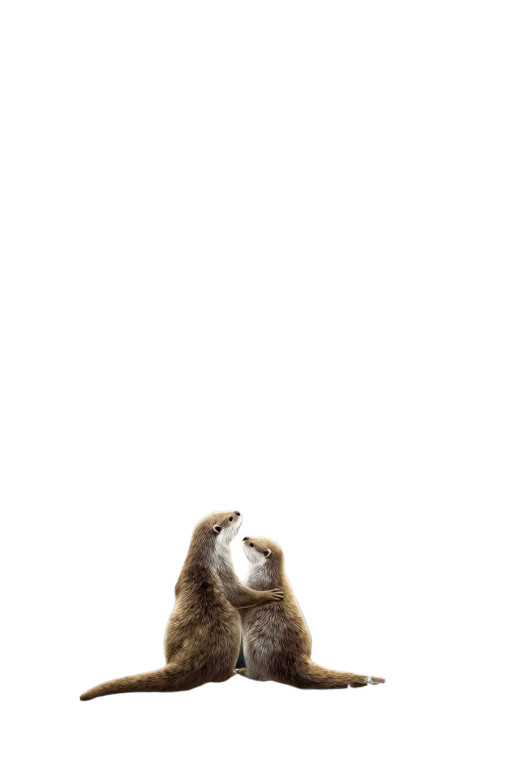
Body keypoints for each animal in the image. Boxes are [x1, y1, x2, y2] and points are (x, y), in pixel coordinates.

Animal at [80, 512, 283, 700]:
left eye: (228, 513)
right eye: (230, 518)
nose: (238, 511)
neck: (206, 557)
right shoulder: (222, 566)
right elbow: (238, 594)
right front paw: (269, 594)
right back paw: (234, 671)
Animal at [237, 537, 385, 689]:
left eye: (252, 544)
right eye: (256, 537)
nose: (245, 538)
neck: (265, 576)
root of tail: (294, 659)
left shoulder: (255, 585)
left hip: (254, 647)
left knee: (259, 675)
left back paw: (243, 671)